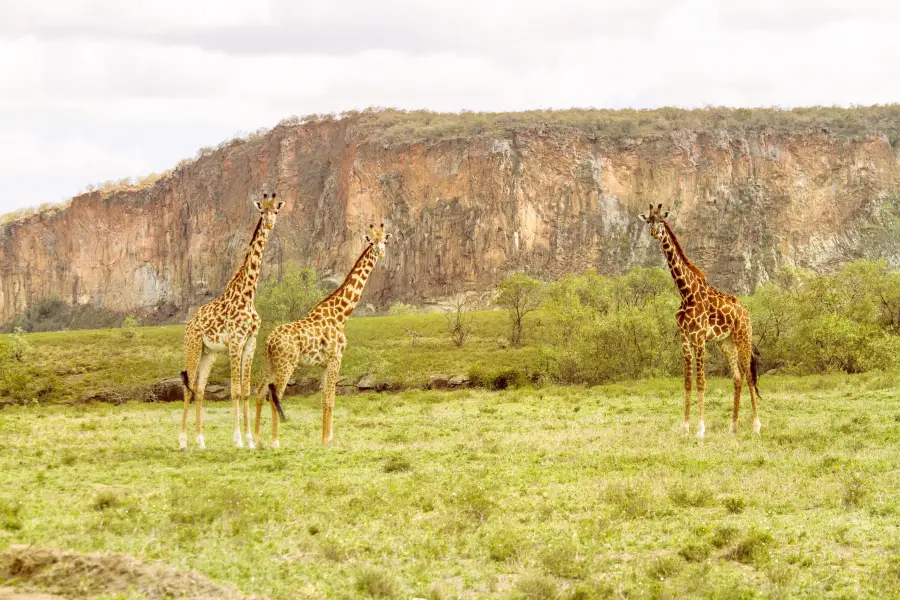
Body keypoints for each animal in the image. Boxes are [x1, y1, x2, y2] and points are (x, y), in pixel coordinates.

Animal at [178, 192, 284, 450]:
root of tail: (189, 325)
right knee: (187, 388)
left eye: (276, 211)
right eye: (262, 211)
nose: (269, 224)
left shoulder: (250, 343)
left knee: (199, 388)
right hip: (193, 347)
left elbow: (245, 390)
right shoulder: (235, 342)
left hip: (209, 353)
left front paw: (250, 440)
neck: (248, 294)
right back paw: (183, 441)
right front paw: (237, 439)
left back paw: (201, 441)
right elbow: (234, 390)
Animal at [253, 223, 394, 448]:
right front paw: (328, 439)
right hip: (286, 364)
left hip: (270, 365)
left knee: (259, 393)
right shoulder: (336, 358)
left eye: (385, 241)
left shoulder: (325, 363)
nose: (380, 252)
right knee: (275, 397)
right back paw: (275, 442)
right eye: (371, 242)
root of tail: (268, 342)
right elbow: (330, 399)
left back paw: (257, 439)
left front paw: (324, 438)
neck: (341, 314)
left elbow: (324, 399)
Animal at [640, 204, 760, 438]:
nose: (654, 233)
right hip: (726, 342)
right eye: (649, 220)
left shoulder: (700, 338)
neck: (687, 292)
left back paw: (756, 426)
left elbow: (701, 381)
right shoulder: (685, 338)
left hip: (743, 337)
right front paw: (685, 427)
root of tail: (746, 311)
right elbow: (688, 382)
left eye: (661, 221)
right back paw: (733, 428)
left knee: (749, 376)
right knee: (737, 377)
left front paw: (700, 429)